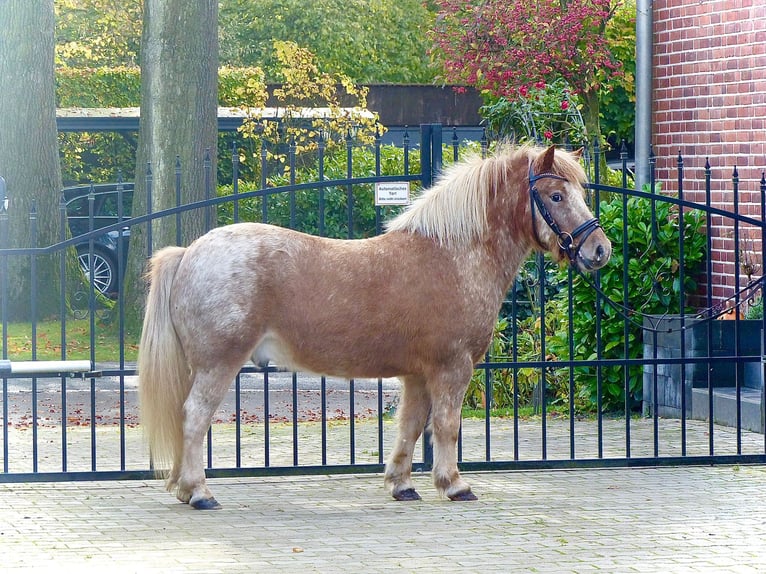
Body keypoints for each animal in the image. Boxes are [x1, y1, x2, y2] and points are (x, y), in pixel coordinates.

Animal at [138, 146, 612, 510]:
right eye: (555, 195)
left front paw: (402, 485)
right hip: (218, 365)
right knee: (194, 418)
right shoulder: (452, 368)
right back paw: (199, 493)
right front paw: (454, 485)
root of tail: (189, 252)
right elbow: (447, 426)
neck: (454, 256)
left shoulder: (418, 375)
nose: (599, 249)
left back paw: (184, 489)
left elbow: (410, 426)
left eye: (580, 191)